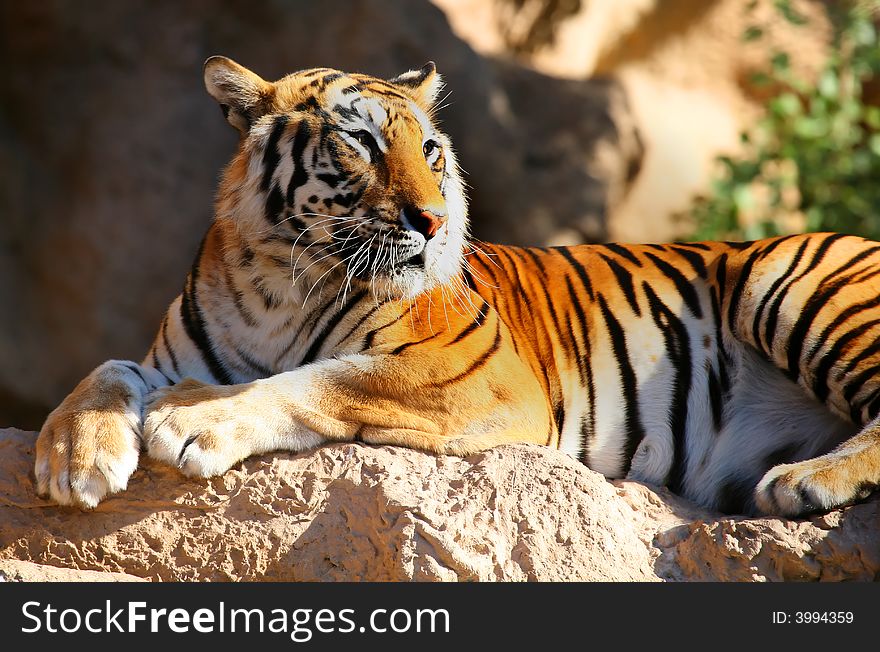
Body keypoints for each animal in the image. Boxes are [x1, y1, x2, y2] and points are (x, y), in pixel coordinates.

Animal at [37, 54, 880, 520]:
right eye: (362, 142)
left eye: (433, 151)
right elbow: (108, 369)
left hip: (793, 282)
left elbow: (323, 378)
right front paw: (72, 456)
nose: (436, 221)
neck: (281, 280)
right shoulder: (173, 352)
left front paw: (191, 419)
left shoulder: (477, 377)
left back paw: (804, 482)